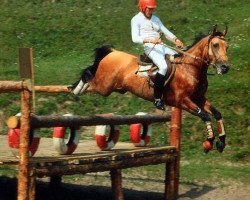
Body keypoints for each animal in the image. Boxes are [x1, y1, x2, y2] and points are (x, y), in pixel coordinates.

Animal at [71, 25, 230, 153]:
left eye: (227, 47)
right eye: (216, 45)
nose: (225, 67)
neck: (189, 69)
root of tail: (113, 52)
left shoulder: (199, 98)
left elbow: (217, 114)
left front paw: (221, 142)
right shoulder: (182, 101)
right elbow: (205, 115)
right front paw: (208, 142)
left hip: (115, 88)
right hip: (103, 87)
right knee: (88, 77)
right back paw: (75, 90)